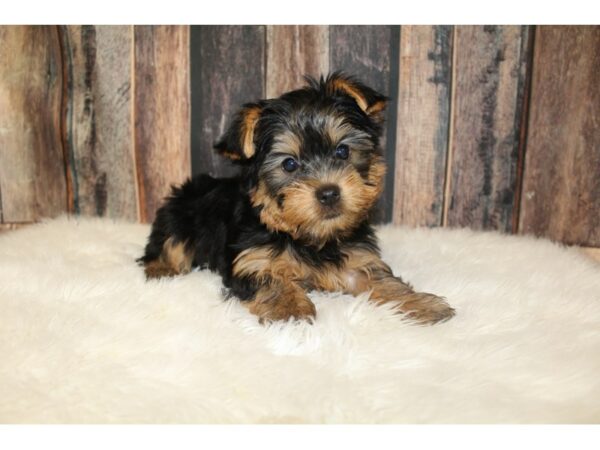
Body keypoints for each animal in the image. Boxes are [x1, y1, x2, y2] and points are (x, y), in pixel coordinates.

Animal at [138, 72, 454, 326]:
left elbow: (384, 281)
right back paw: (161, 269)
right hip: (177, 216)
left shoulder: (358, 260)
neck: (309, 237)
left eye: (342, 151)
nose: (328, 192)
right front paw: (288, 309)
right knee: (165, 245)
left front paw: (421, 304)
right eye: (289, 164)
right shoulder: (251, 260)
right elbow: (271, 279)